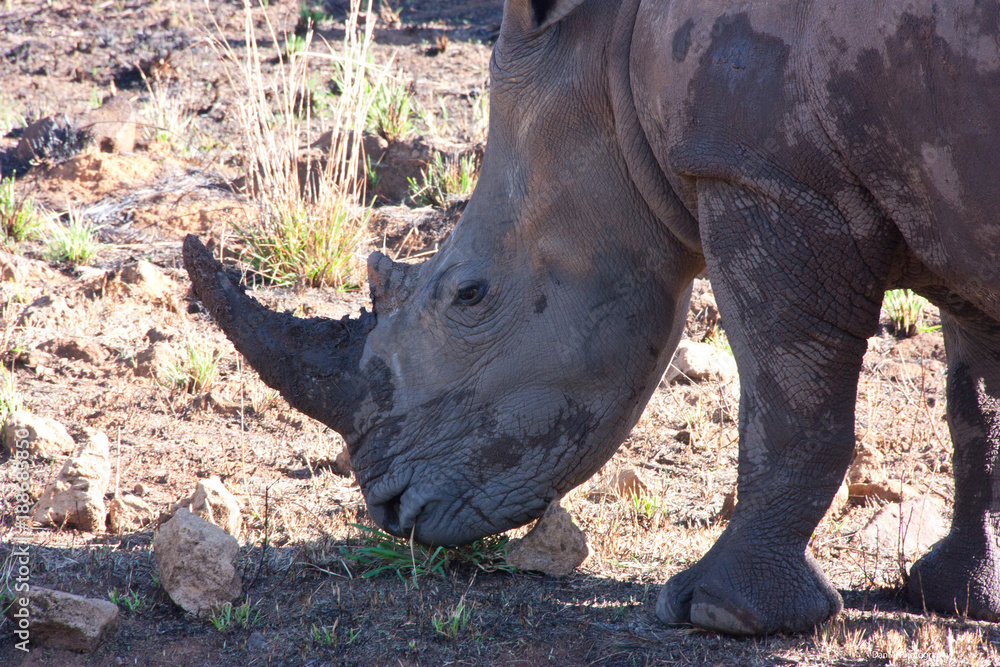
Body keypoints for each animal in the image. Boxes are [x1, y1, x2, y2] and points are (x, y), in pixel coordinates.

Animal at [184, 0, 1000, 636]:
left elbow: (789, 399)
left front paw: (717, 613)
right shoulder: (949, 203)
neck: (608, 61)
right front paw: (956, 598)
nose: (387, 508)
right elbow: (977, 407)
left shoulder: (764, 178)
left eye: (470, 295)